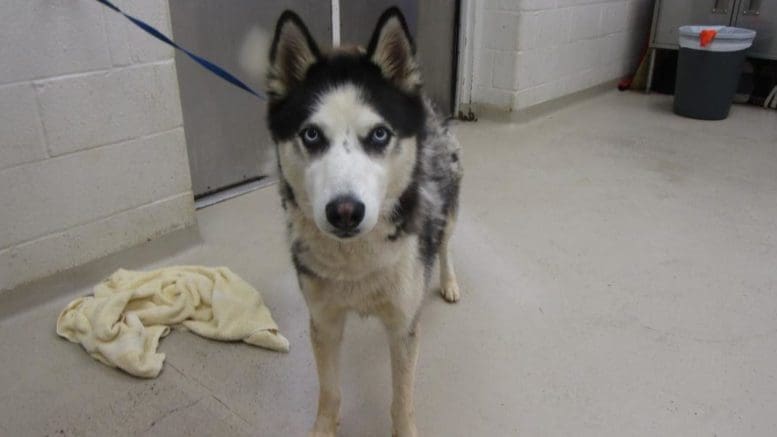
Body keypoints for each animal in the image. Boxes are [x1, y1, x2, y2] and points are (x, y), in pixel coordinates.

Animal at [266, 7, 460, 436]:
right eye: (311, 135)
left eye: (379, 134)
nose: (344, 211)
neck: (354, 261)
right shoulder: (324, 322)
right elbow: (330, 393)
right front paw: (324, 429)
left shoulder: (403, 327)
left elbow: (401, 401)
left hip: (449, 209)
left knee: (444, 244)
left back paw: (449, 281)